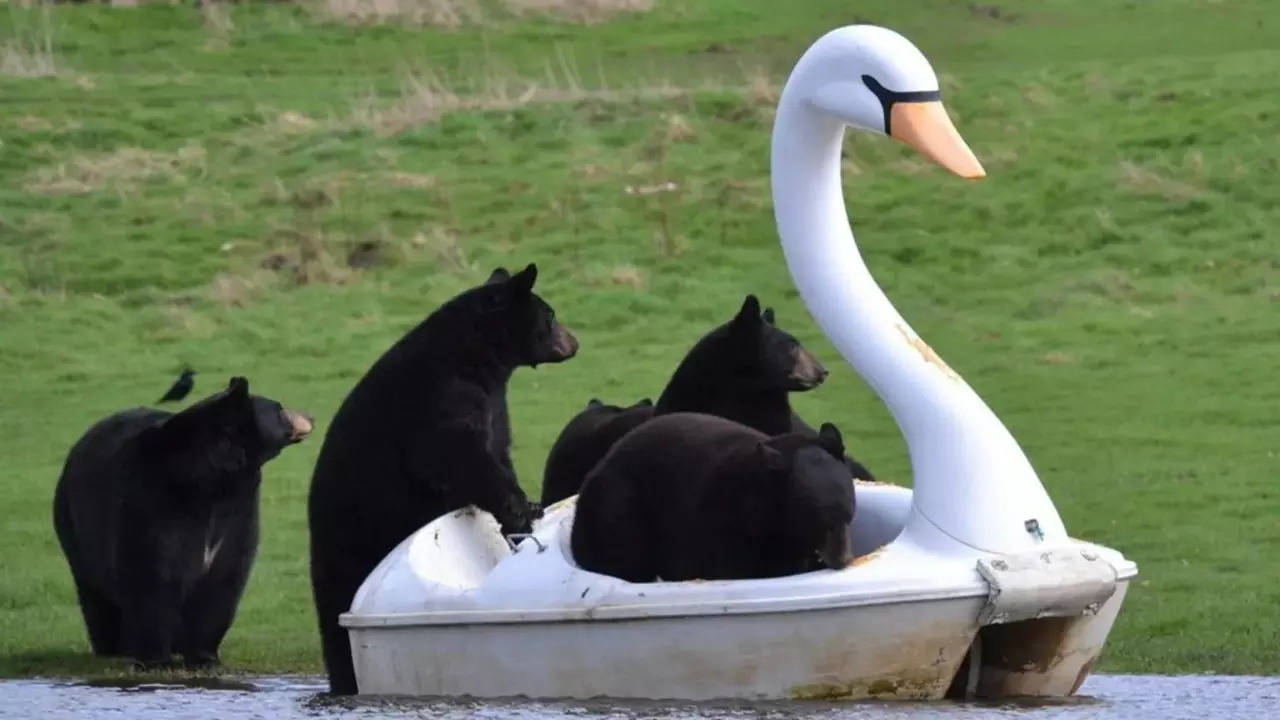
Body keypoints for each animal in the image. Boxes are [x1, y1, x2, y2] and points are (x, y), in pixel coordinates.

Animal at [54, 376, 314, 666]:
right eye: (279, 409)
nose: (310, 416)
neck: (212, 481)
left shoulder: (238, 512)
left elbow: (225, 576)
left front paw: (204, 655)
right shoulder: (153, 503)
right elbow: (153, 574)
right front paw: (156, 659)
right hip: (73, 524)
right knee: (94, 592)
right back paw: (112, 646)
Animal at [307, 260, 578, 691]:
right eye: (549, 314)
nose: (574, 341)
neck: (479, 358)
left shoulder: (494, 404)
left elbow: (497, 450)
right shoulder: (441, 398)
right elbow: (454, 456)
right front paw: (520, 513)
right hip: (351, 542)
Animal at [573, 409, 855, 584]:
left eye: (849, 516)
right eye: (821, 521)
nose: (843, 560)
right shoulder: (723, 524)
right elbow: (729, 568)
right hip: (618, 510)